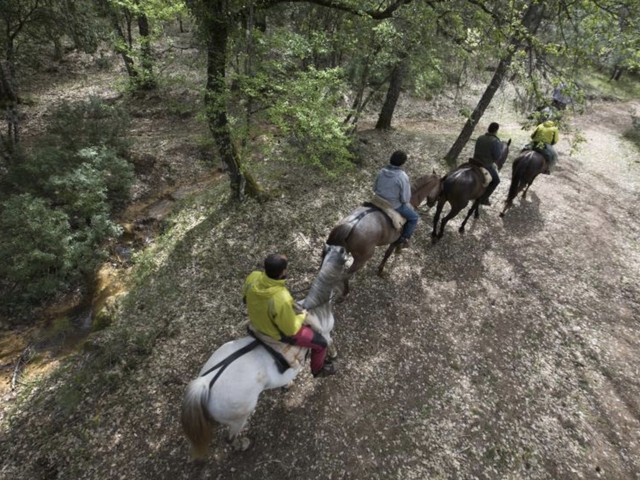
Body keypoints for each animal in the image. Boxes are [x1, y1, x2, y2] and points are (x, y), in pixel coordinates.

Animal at [181, 244, 348, 458]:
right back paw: (242, 444)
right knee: (230, 438)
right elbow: (330, 343)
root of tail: (206, 384)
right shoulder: (324, 335)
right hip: (239, 416)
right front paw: (331, 362)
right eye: (347, 257)